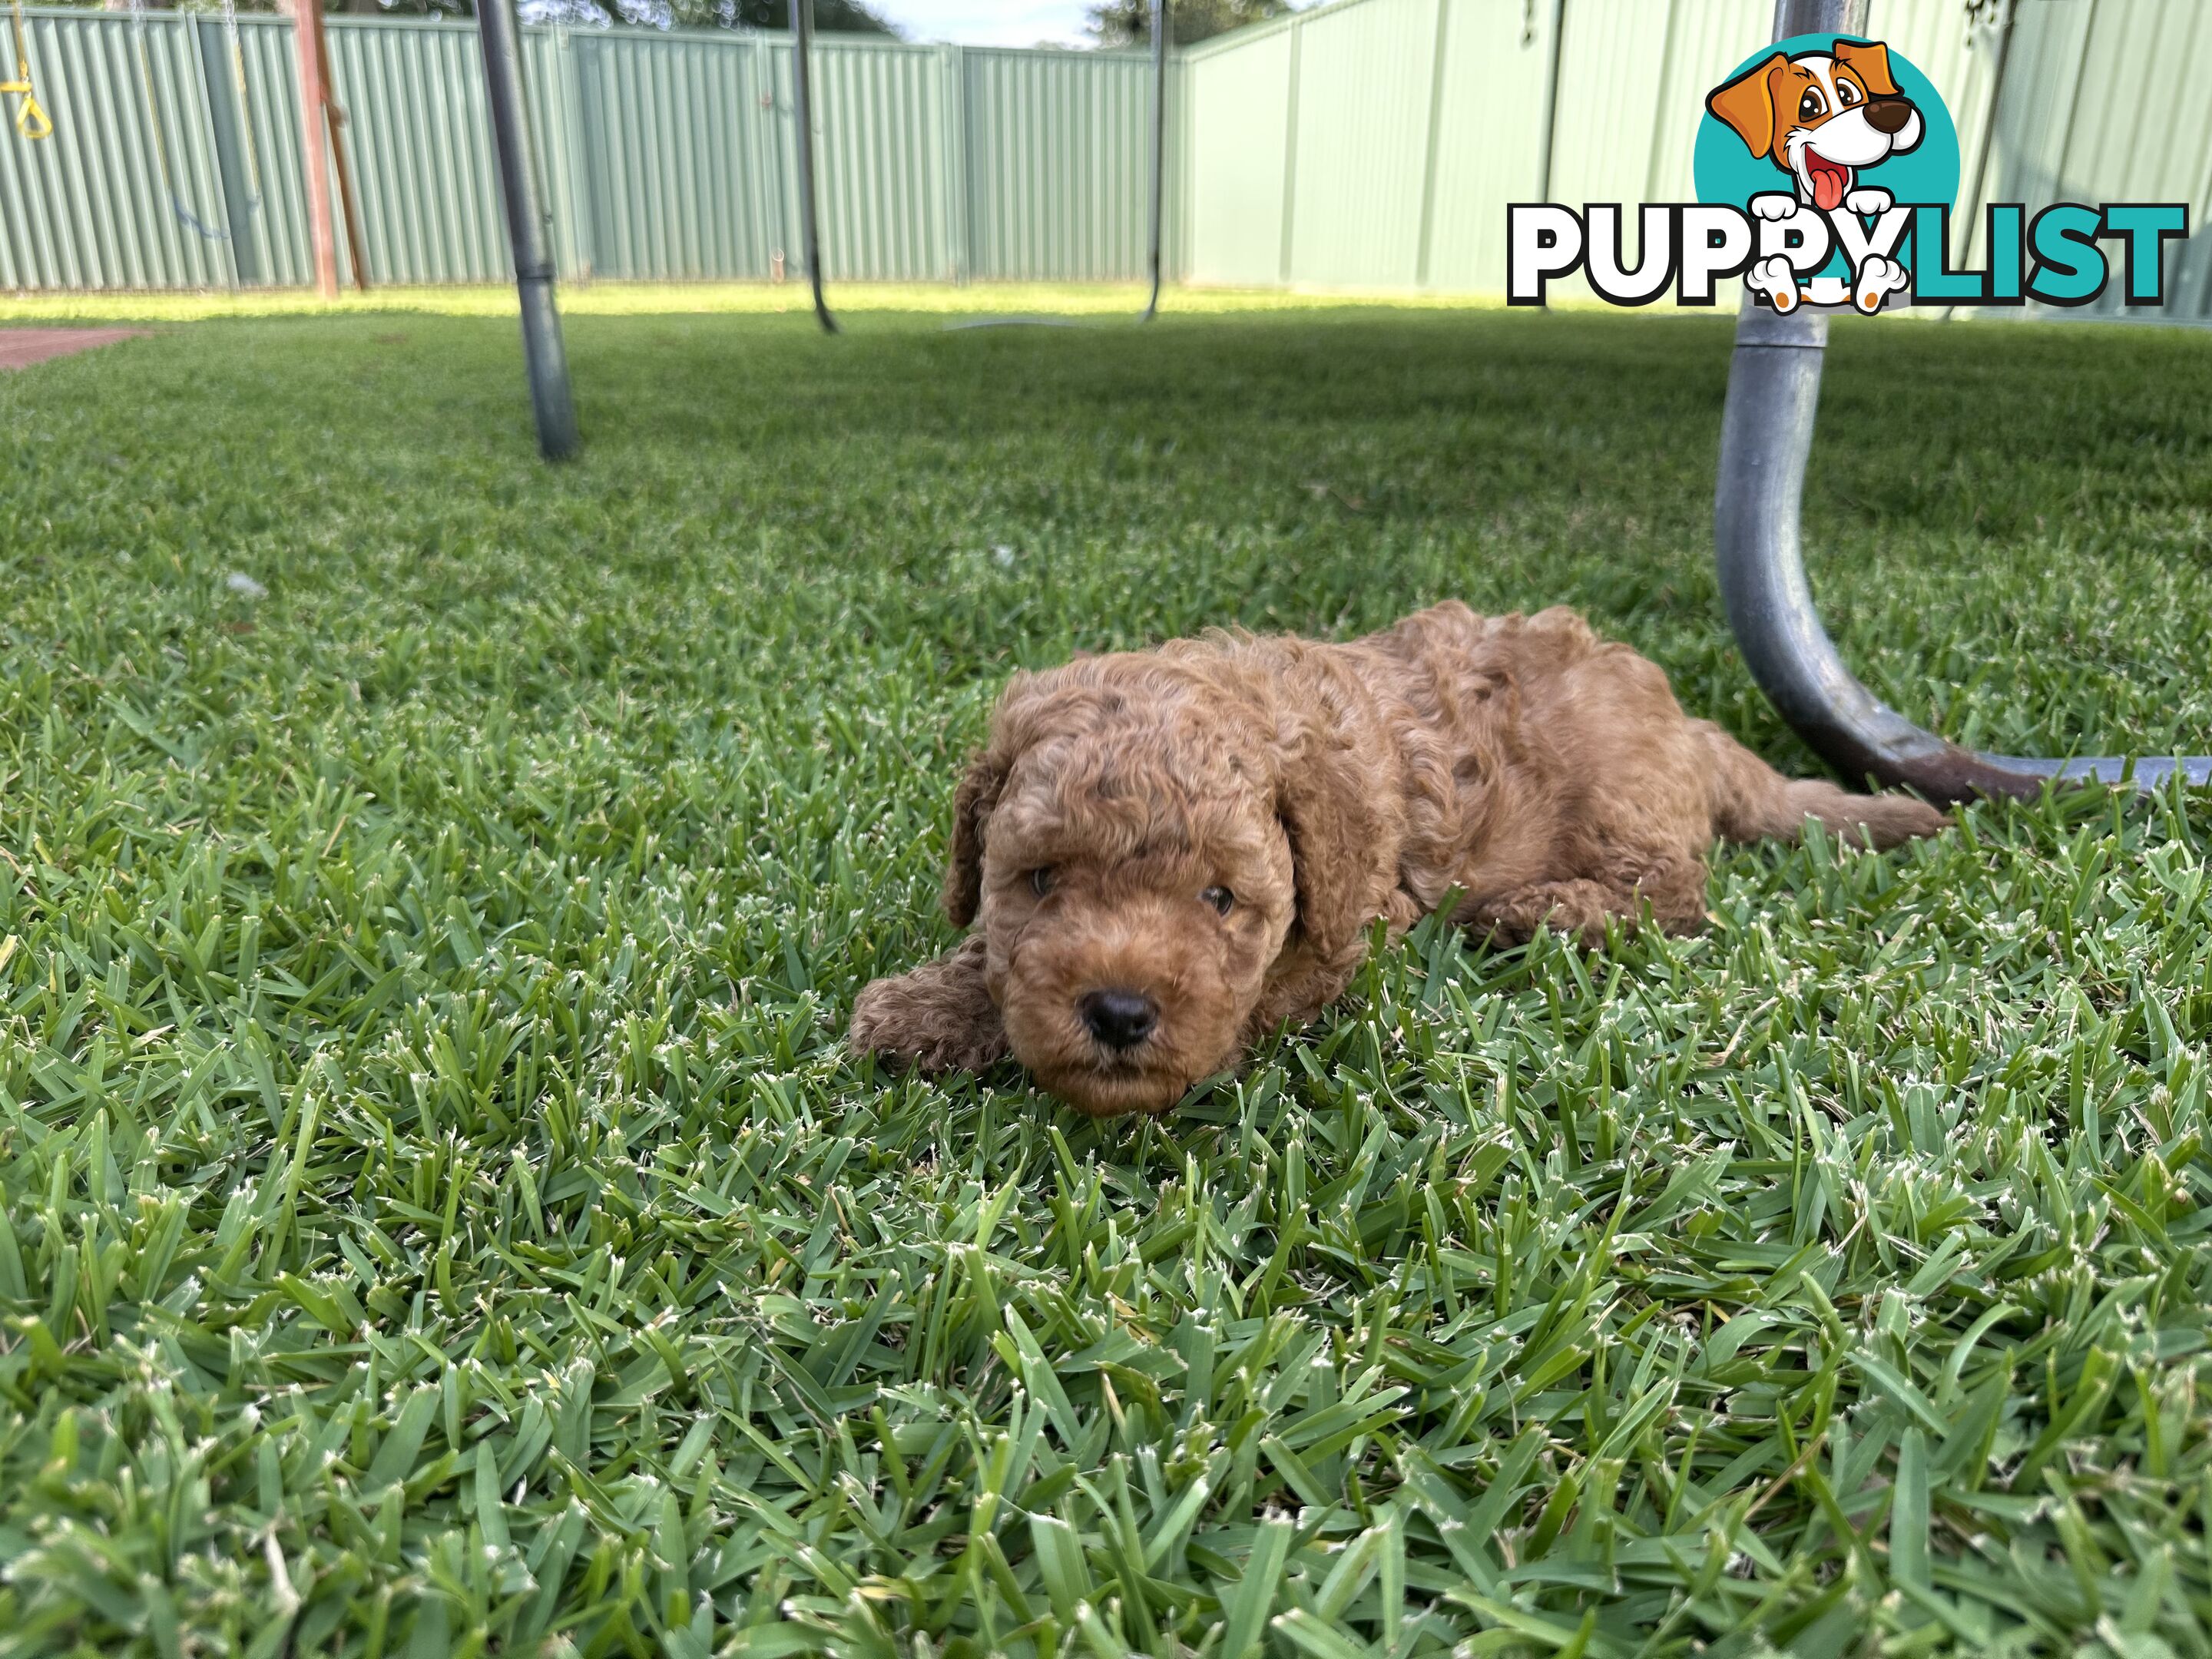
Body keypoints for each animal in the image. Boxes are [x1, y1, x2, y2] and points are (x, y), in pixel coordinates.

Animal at [853, 606, 1946, 1124]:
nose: (1119, 1014)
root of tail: (1689, 725)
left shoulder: (1359, 914)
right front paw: (929, 1003)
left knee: (1674, 891)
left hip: (1617, 801)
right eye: (1040, 880)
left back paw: (1538, 910)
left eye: (1220, 899)